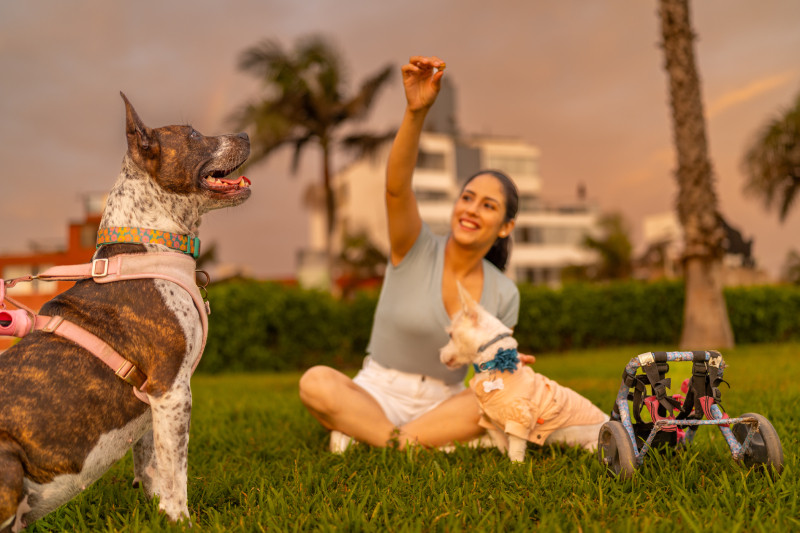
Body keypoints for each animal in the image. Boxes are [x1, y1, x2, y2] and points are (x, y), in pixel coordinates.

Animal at [0, 91, 250, 528]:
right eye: (193, 134)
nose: (247, 135)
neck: (150, 242)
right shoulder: (171, 389)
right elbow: (175, 472)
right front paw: (182, 522)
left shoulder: (152, 399)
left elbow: (152, 466)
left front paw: (159, 516)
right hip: (9, 461)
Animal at [438, 282, 608, 462]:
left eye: (450, 335)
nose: (441, 355)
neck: (494, 363)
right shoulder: (488, 421)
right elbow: (502, 445)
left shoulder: (519, 418)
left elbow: (515, 450)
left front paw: (516, 466)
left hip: (593, 446)